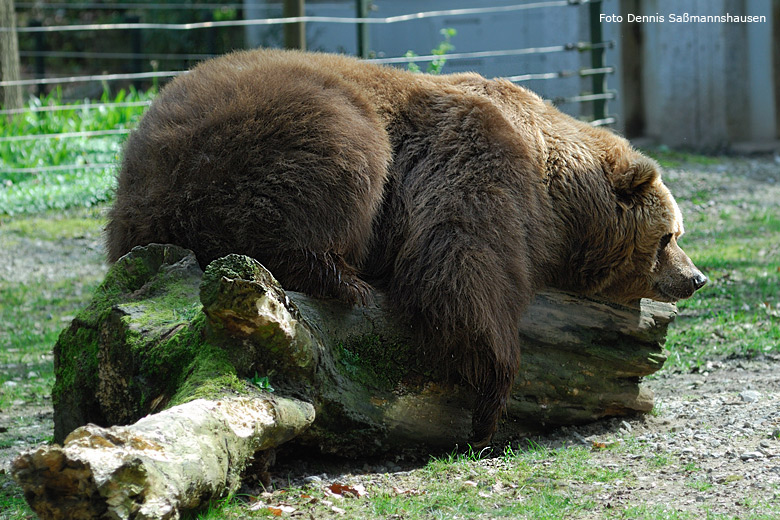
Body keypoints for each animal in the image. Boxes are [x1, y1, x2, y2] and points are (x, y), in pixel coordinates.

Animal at [106, 49, 708, 446]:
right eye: (671, 236)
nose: (695, 278)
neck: (556, 194)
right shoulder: (477, 157)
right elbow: (457, 265)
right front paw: (491, 399)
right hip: (278, 125)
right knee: (338, 158)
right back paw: (341, 278)